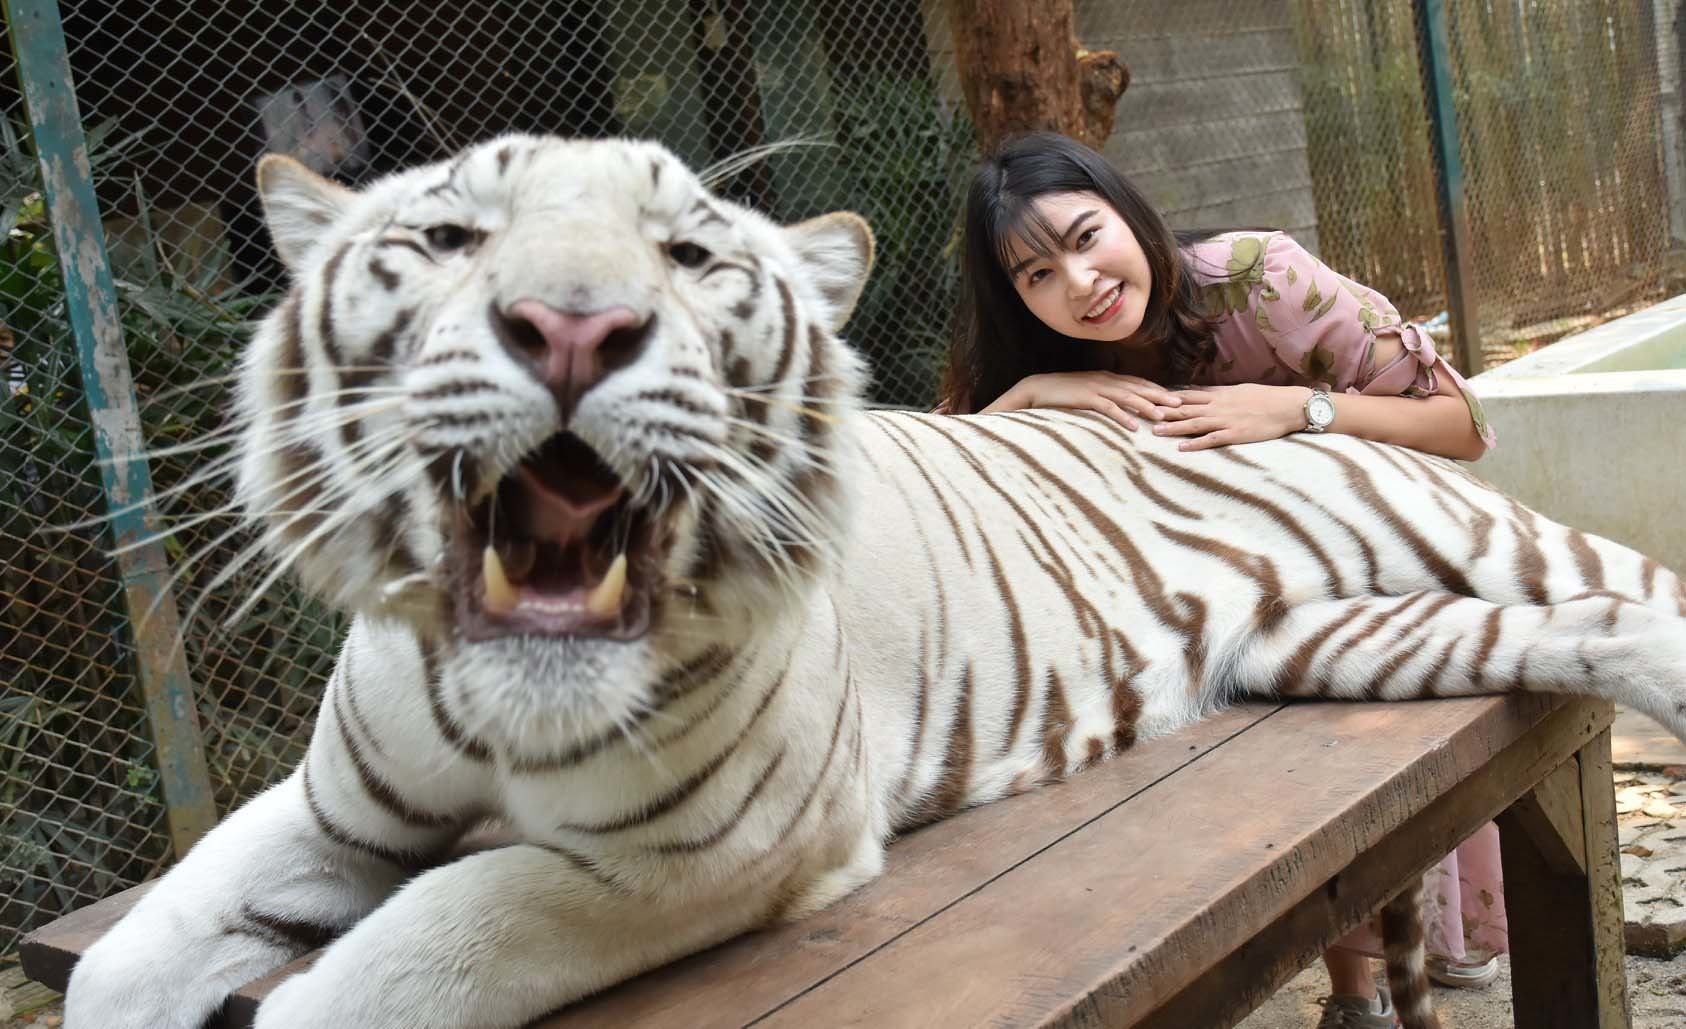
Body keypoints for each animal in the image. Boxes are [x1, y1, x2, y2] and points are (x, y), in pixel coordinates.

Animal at [64, 134, 1686, 1029]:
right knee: (1594, 627)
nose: (576, 325)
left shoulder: (709, 852)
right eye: (444, 240)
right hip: (1349, 639)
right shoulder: (334, 808)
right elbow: (121, 960)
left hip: (1477, 536)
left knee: (1638, 582)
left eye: (695, 258)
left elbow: (427, 948)